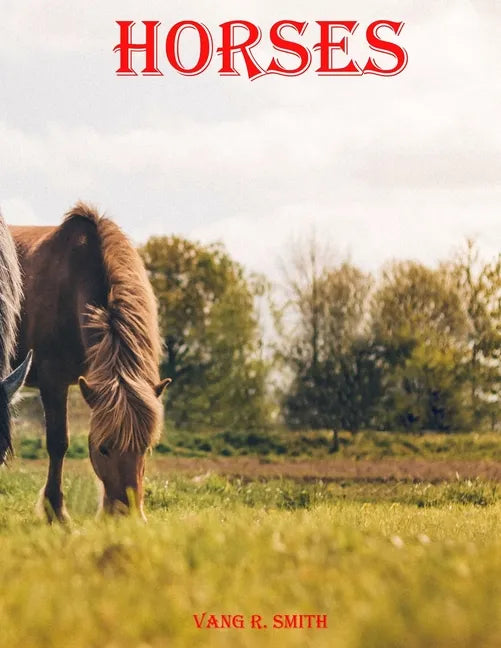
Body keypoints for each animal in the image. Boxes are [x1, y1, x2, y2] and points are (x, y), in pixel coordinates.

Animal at [10, 203, 170, 521]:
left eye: (145, 448)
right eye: (103, 448)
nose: (126, 516)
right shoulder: (53, 381)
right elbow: (58, 443)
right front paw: (56, 512)